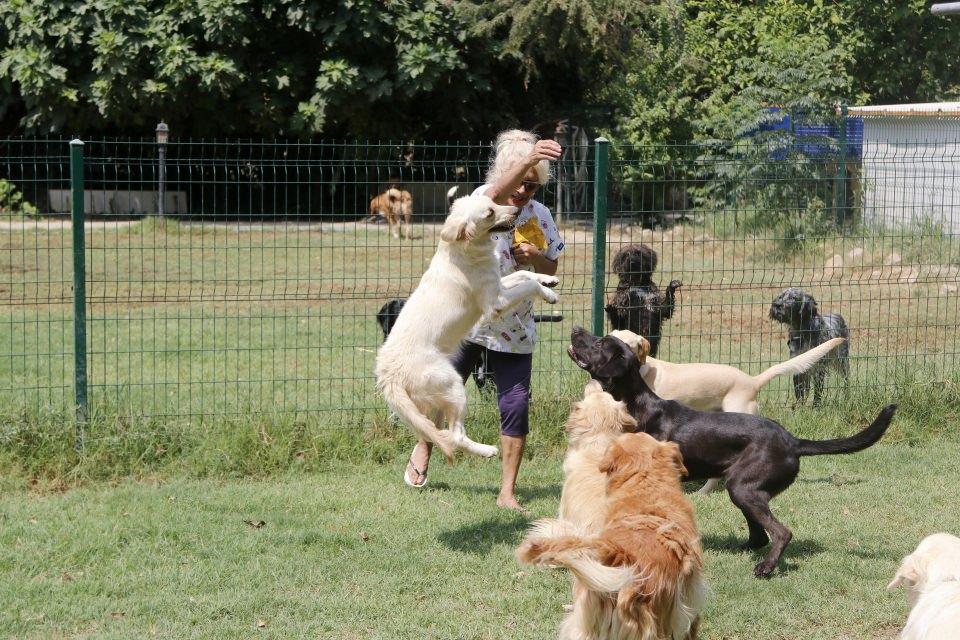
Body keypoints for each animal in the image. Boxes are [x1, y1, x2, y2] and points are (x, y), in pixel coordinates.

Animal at [374, 194, 560, 460]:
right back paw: (487, 450)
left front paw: (548, 280)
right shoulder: (496, 302)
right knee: (454, 436)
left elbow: (524, 274)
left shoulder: (498, 285)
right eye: (490, 212)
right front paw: (549, 293)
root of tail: (389, 374)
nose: (516, 211)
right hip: (454, 385)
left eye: (494, 202)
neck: (464, 249)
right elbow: (527, 285)